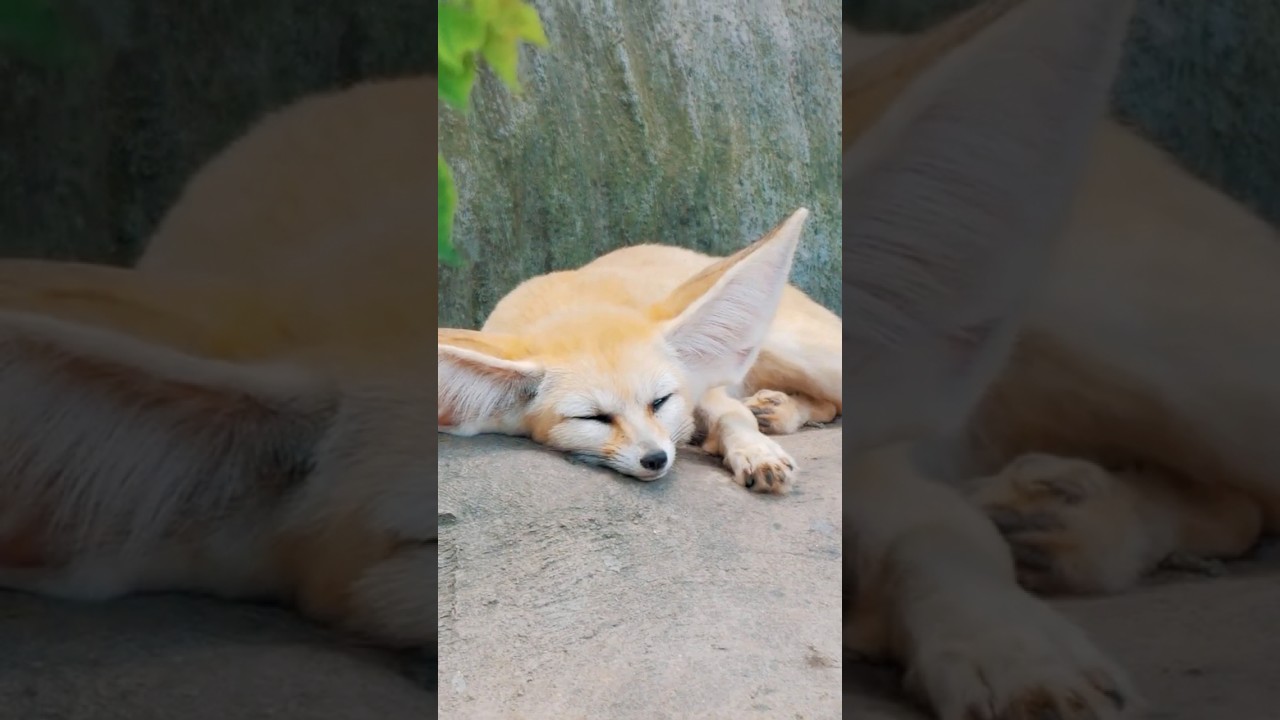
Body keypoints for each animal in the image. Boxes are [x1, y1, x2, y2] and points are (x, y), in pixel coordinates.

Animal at [436, 207, 842, 493]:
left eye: (659, 402)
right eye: (593, 418)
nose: (655, 459)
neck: (569, 301)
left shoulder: (699, 387)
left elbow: (732, 415)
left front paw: (756, 452)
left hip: (803, 353)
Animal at [847, 0, 1280, 718]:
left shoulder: (890, 471)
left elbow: (936, 538)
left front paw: (1013, 647)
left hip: (1166, 355)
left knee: (1252, 499)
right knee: (1235, 501)